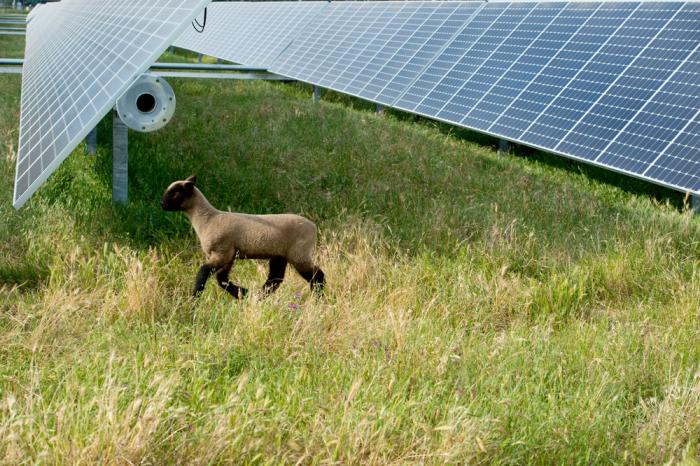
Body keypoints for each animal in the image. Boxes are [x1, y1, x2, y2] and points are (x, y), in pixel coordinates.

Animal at [161, 175, 326, 298]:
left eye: (175, 192)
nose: (161, 204)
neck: (207, 219)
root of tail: (313, 226)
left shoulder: (222, 252)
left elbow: (204, 272)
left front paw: (194, 297)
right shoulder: (229, 255)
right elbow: (221, 279)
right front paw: (242, 293)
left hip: (299, 254)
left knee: (317, 276)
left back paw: (320, 298)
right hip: (280, 255)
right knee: (275, 279)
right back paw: (258, 297)